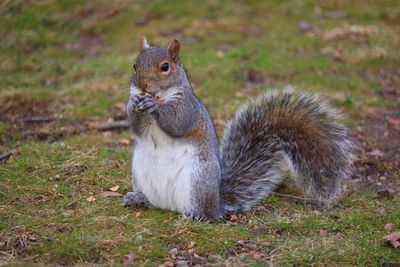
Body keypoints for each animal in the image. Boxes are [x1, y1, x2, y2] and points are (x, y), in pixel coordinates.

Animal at [124, 37, 354, 222]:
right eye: (134, 66)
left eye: (165, 67)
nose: (142, 85)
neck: (161, 95)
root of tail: (218, 204)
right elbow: (136, 127)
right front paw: (133, 103)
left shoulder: (188, 109)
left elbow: (178, 122)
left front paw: (154, 106)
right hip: (139, 173)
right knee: (153, 201)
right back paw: (138, 198)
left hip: (199, 181)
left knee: (206, 214)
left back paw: (196, 215)